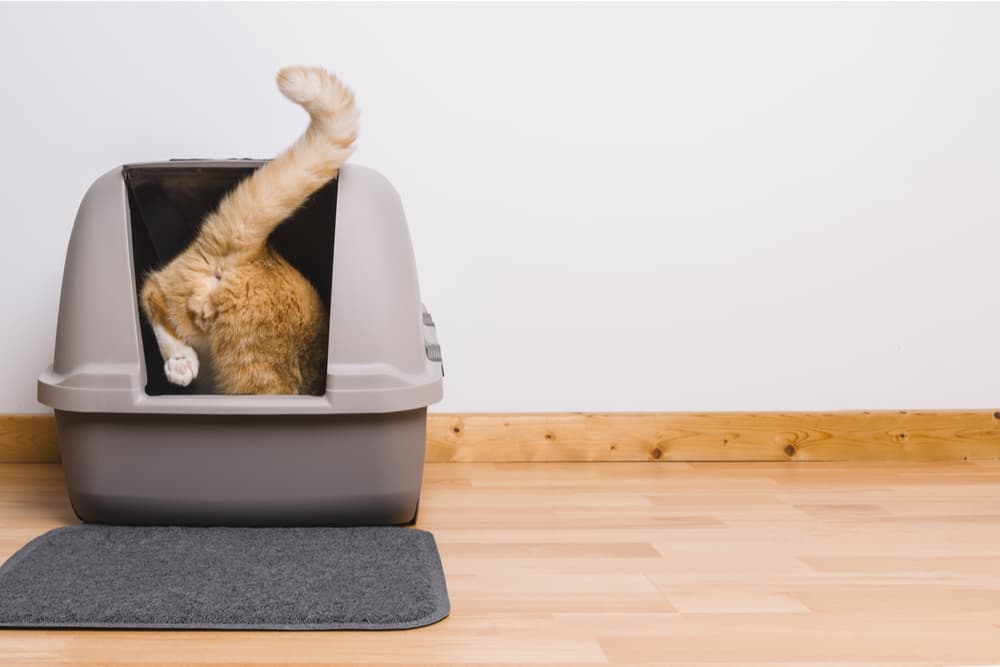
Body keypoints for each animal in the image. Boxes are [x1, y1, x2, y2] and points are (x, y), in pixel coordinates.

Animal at [140, 66, 360, 394]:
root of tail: (255, 250)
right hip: (254, 374)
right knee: (150, 290)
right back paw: (180, 363)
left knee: (154, 290)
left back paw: (181, 362)